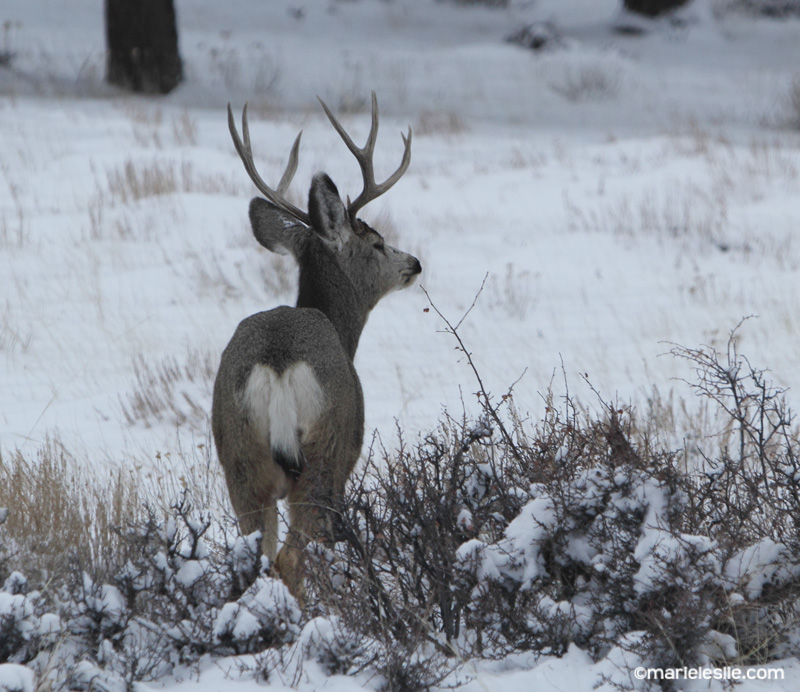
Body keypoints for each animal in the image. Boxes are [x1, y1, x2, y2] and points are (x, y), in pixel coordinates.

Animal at [212, 94, 424, 596]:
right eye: (377, 242)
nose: (414, 263)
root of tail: (278, 363)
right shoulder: (348, 455)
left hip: (239, 456)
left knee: (257, 557)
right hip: (323, 451)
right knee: (292, 558)